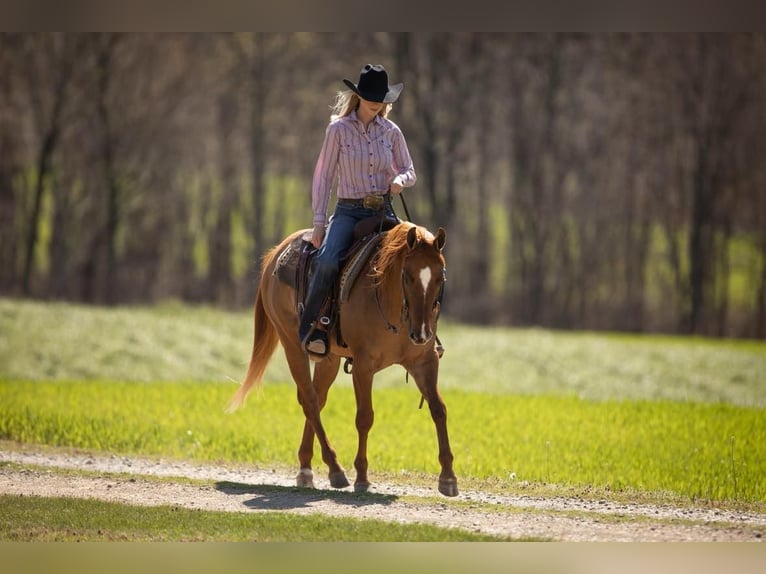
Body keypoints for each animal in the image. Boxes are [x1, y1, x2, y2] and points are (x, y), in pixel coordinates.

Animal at [225, 223, 460, 498]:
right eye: (407, 276)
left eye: (439, 278)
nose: (421, 333)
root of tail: (277, 252)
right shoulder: (363, 366)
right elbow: (365, 417)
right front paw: (362, 477)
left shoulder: (425, 362)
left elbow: (439, 410)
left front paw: (448, 477)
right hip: (292, 345)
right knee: (310, 402)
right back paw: (335, 469)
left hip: (329, 360)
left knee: (317, 399)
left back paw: (306, 470)